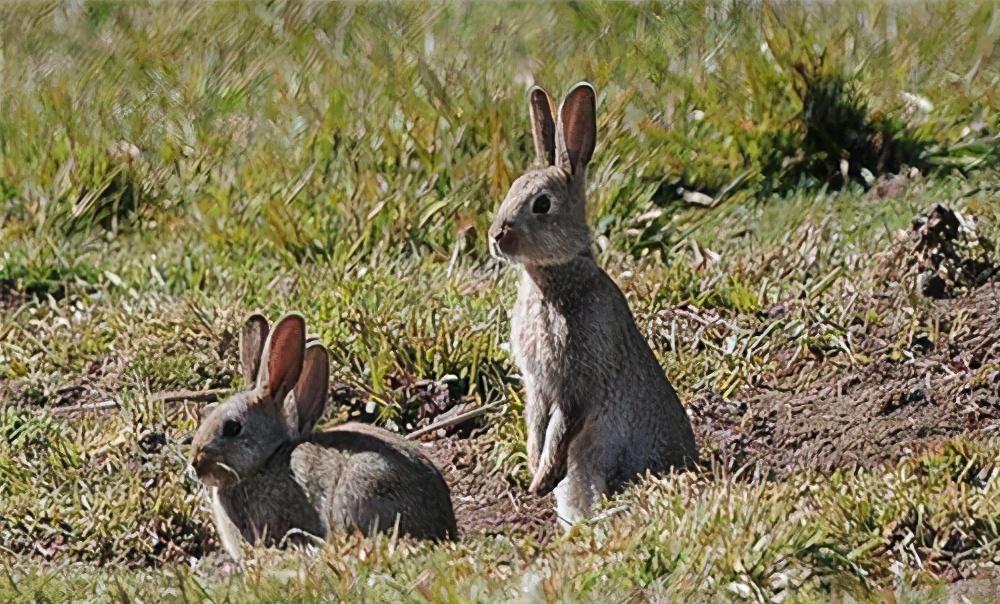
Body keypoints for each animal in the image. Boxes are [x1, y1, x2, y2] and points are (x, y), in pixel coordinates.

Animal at [488, 82, 700, 528]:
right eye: (512, 188)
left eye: (542, 204)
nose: (497, 235)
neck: (552, 278)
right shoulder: (538, 386)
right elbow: (536, 424)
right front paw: (534, 471)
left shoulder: (575, 382)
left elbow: (562, 426)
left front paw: (540, 481)